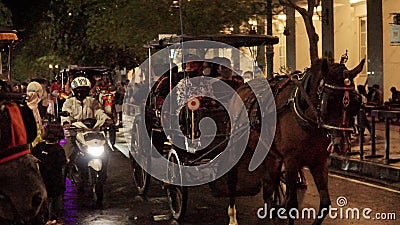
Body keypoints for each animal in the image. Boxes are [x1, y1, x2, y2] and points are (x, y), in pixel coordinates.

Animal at [225, 58, 366, 225]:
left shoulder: (319, 161)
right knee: (233, 180)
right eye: (330, 100)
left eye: (356, 102)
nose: (342, 145)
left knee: (268, 186)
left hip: (269, 154)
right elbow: (291, 204)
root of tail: (241, 89)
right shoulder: (291, 161)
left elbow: (325, 203)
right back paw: (233, 216)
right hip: (236, 147)